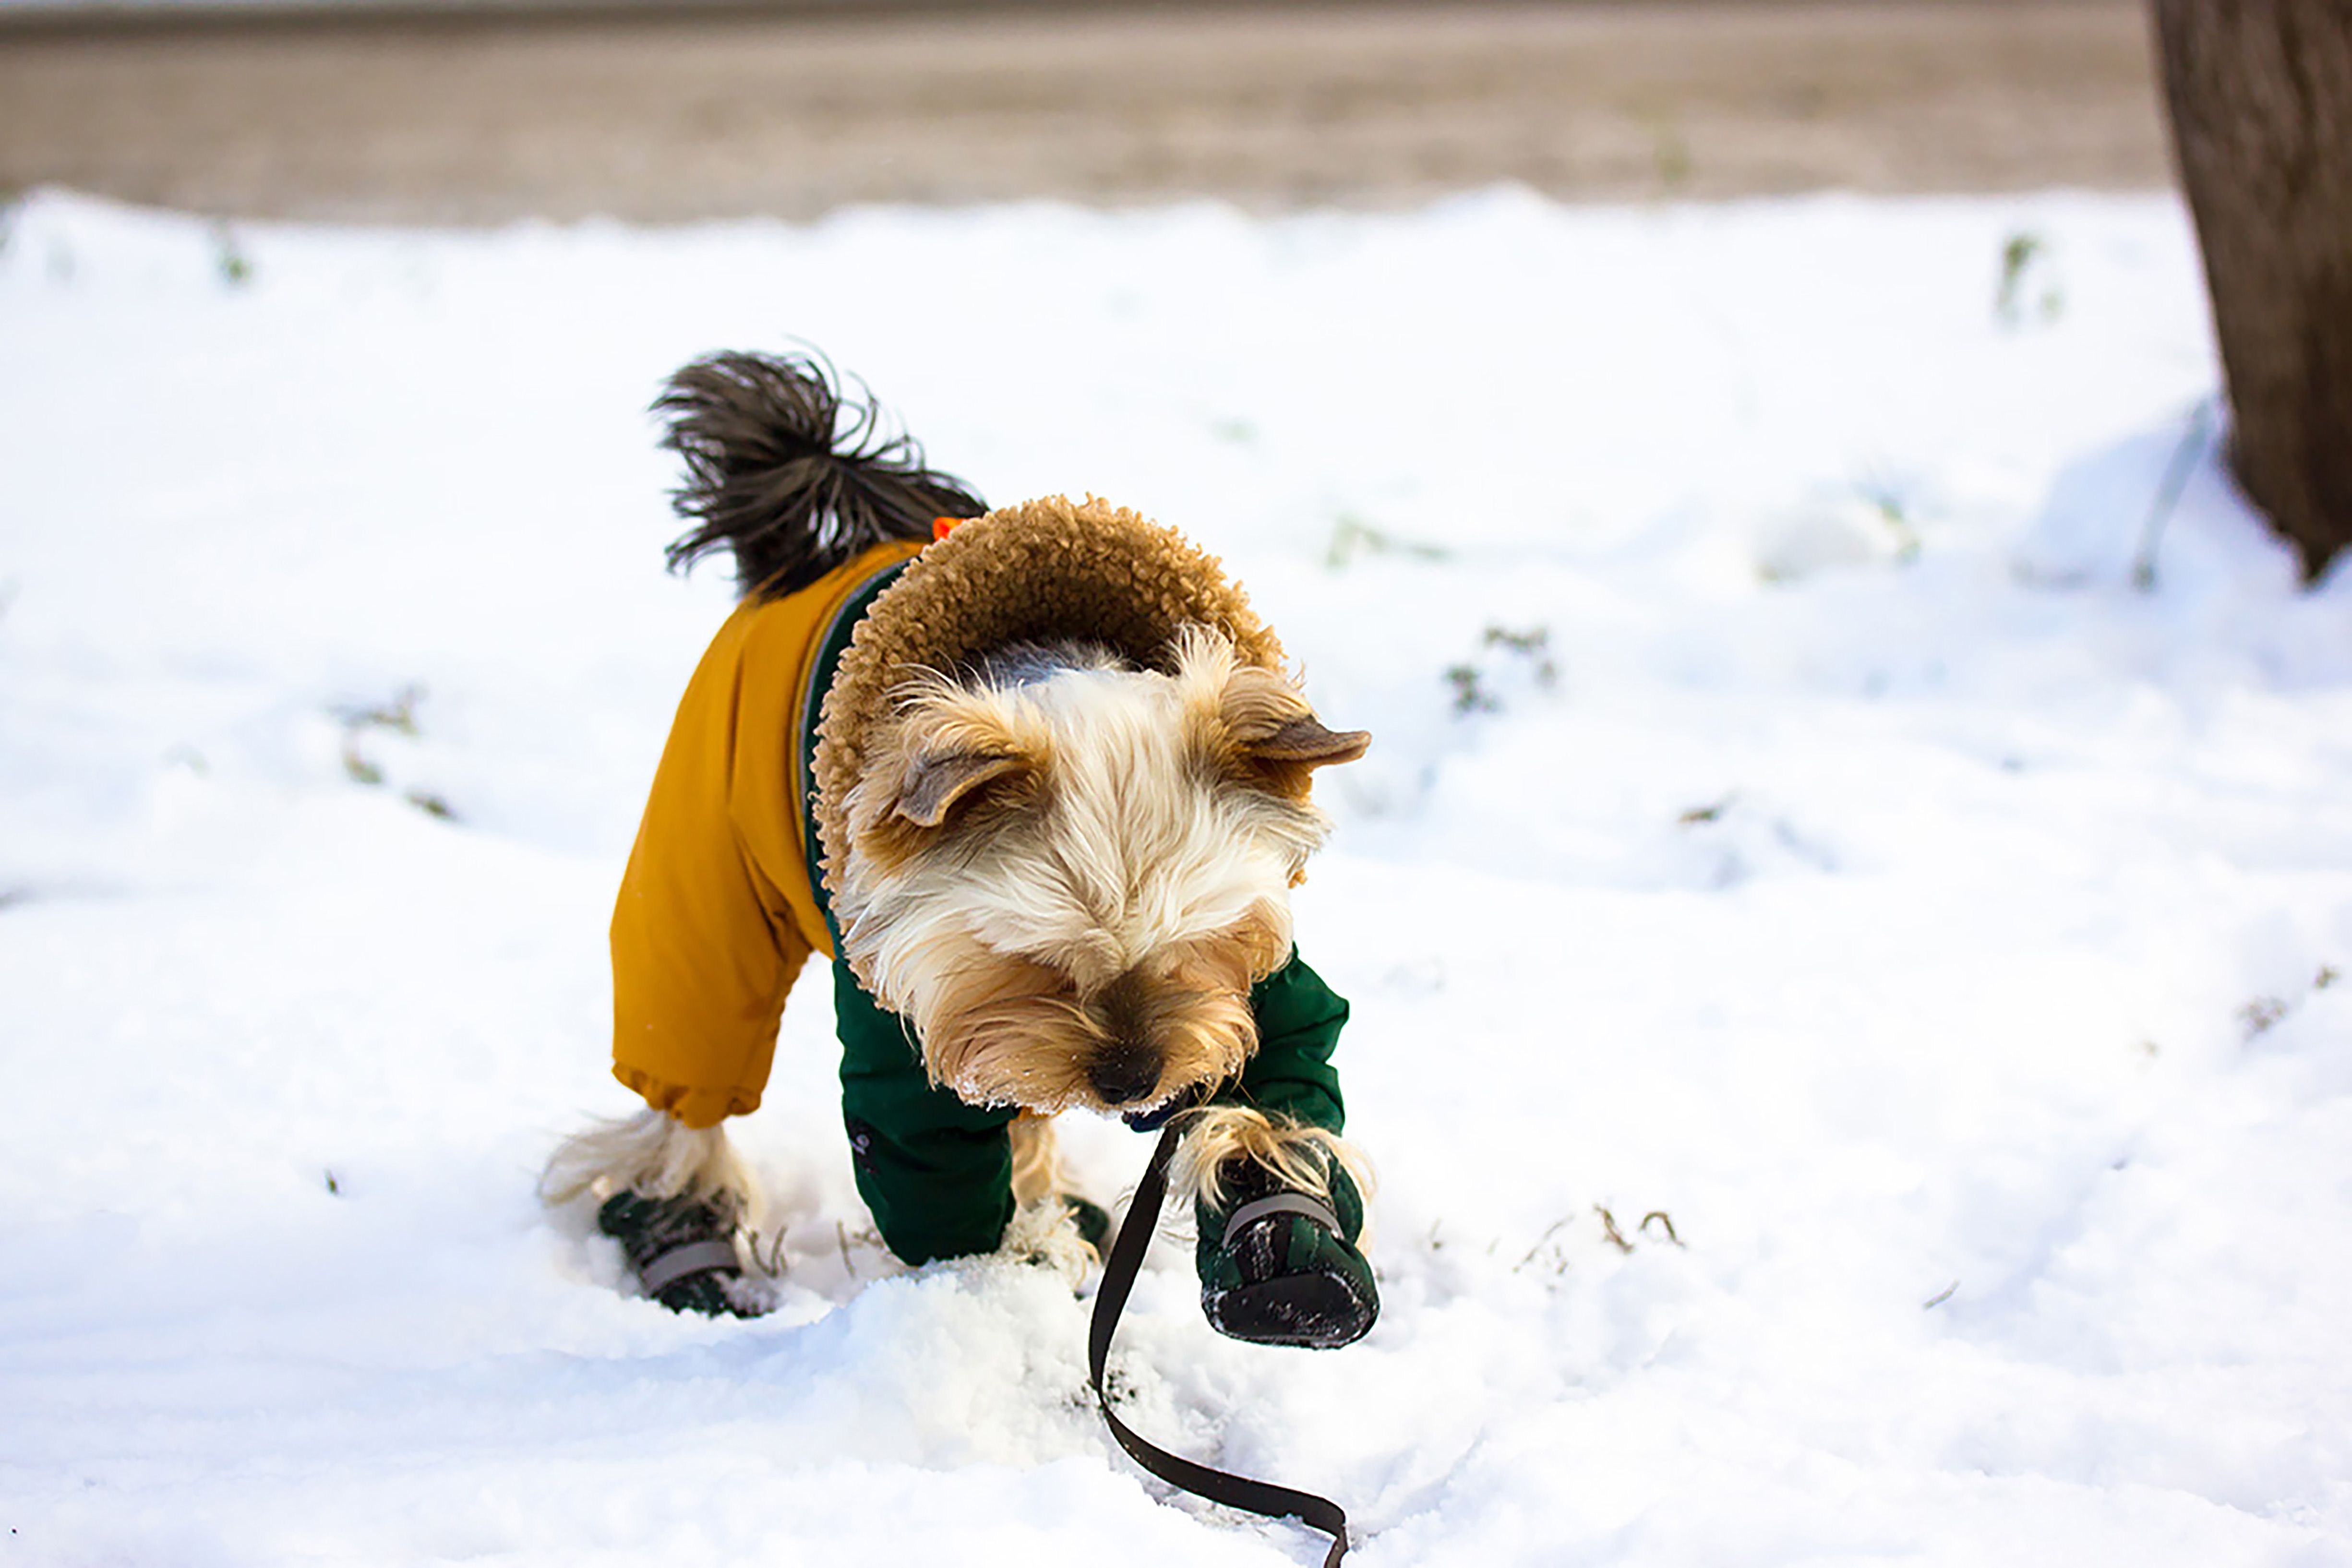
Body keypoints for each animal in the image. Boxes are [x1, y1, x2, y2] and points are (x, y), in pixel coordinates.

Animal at [539, 352, 1373, 1354]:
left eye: (1200, 947)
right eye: (1033, 960)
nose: (1132, 1080)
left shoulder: (1260, 990)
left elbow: (1288, 1073)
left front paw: (1286, 1242)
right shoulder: (906, 1000)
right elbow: (929, 1168)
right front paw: (999, 1286)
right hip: (701, 857)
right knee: (688, 1056)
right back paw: (682, 1227)